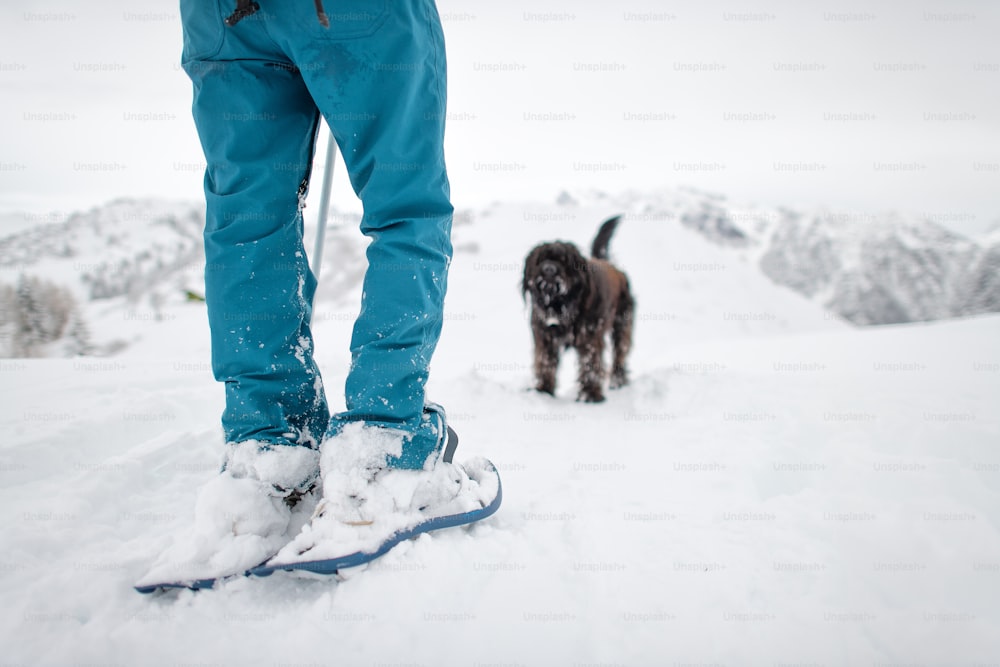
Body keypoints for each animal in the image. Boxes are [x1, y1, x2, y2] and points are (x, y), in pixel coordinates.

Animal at [524, 218, 632, 402]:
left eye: (564, 260)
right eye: (540, 259)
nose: (549, 269)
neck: (561, 306)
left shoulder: (589, 337)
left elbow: (590, 365)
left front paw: (590, 395)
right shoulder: (544, 337)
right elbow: (545, 362)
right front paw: (543, 390)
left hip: (621, 325)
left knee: (620, 354)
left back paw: (618, 381)